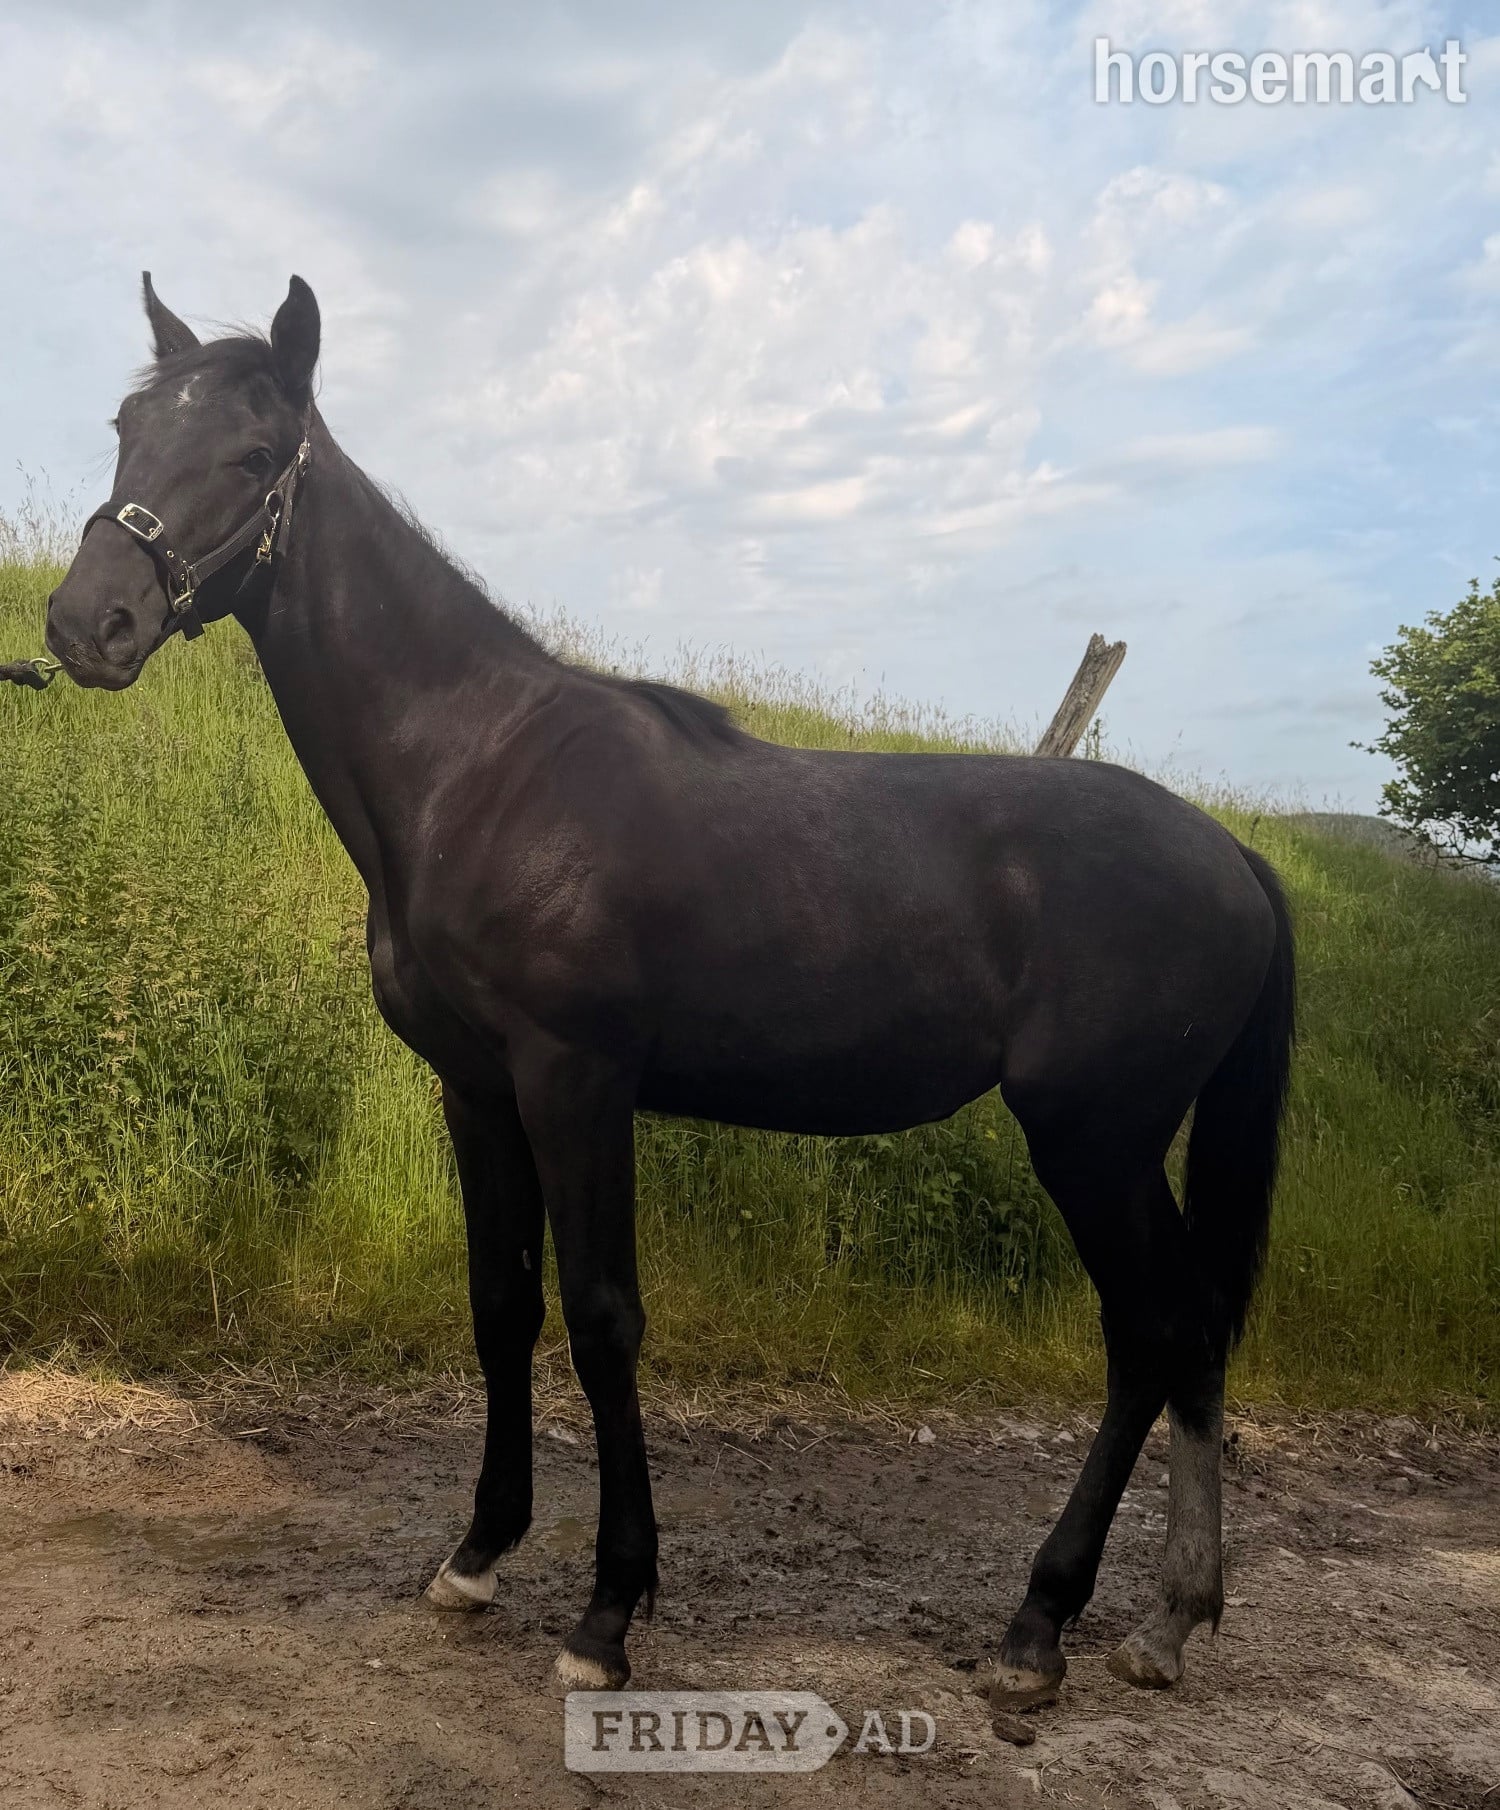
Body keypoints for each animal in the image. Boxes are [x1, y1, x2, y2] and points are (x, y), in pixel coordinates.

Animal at [46, 275, 1294, 1711]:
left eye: (253, 456)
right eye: (129, 428)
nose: (86, 624)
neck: (478, 771)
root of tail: (1234, 857)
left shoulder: (576, 1080)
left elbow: (603, 1321)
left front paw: (608, 1612)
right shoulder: (477, 1088)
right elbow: (501, 1306)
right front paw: (477, 1554)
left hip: (1093, 1138)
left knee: (1150, 1331)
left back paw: (1043, 1625)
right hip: (1121, 1146)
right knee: (1188, 1332)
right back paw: (1167, 1617)